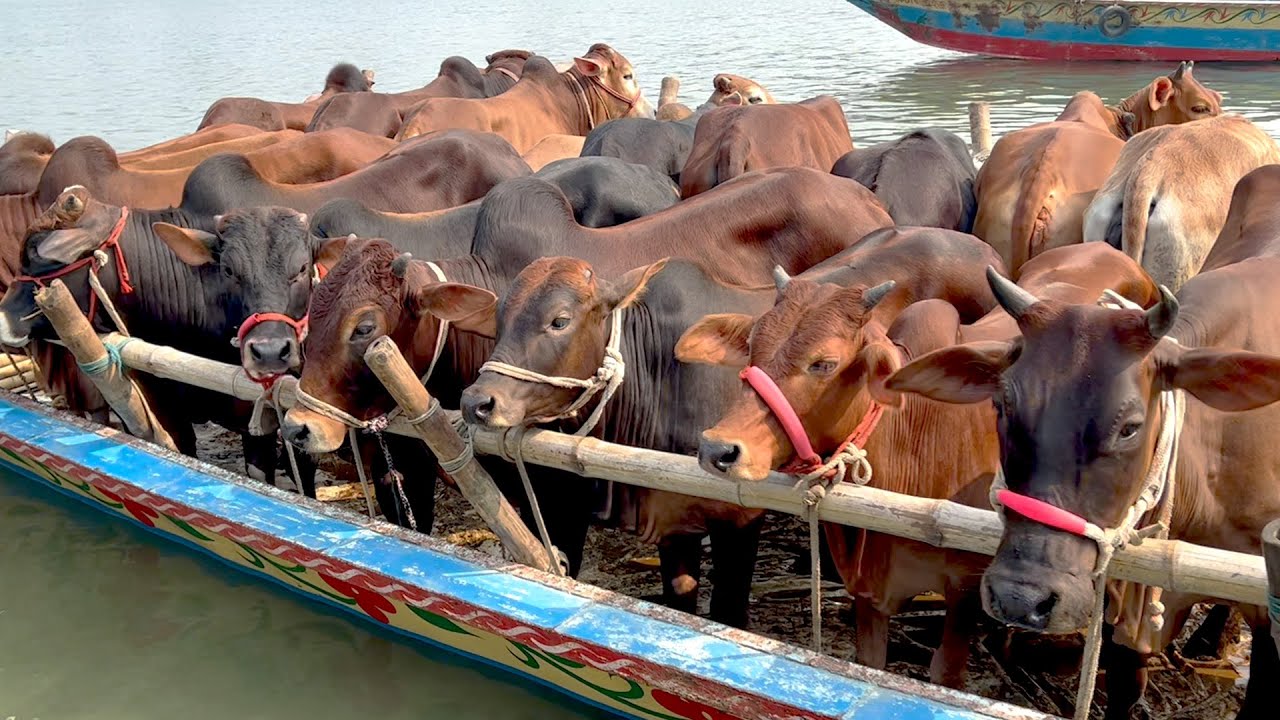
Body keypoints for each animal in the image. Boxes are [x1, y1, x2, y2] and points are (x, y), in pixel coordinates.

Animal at [677, 242, 1158, 689]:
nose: (718, 448)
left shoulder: (965, 588)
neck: (912, 446)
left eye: (824, 363)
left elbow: (946, 671)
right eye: (753, 345)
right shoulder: (869, 594)